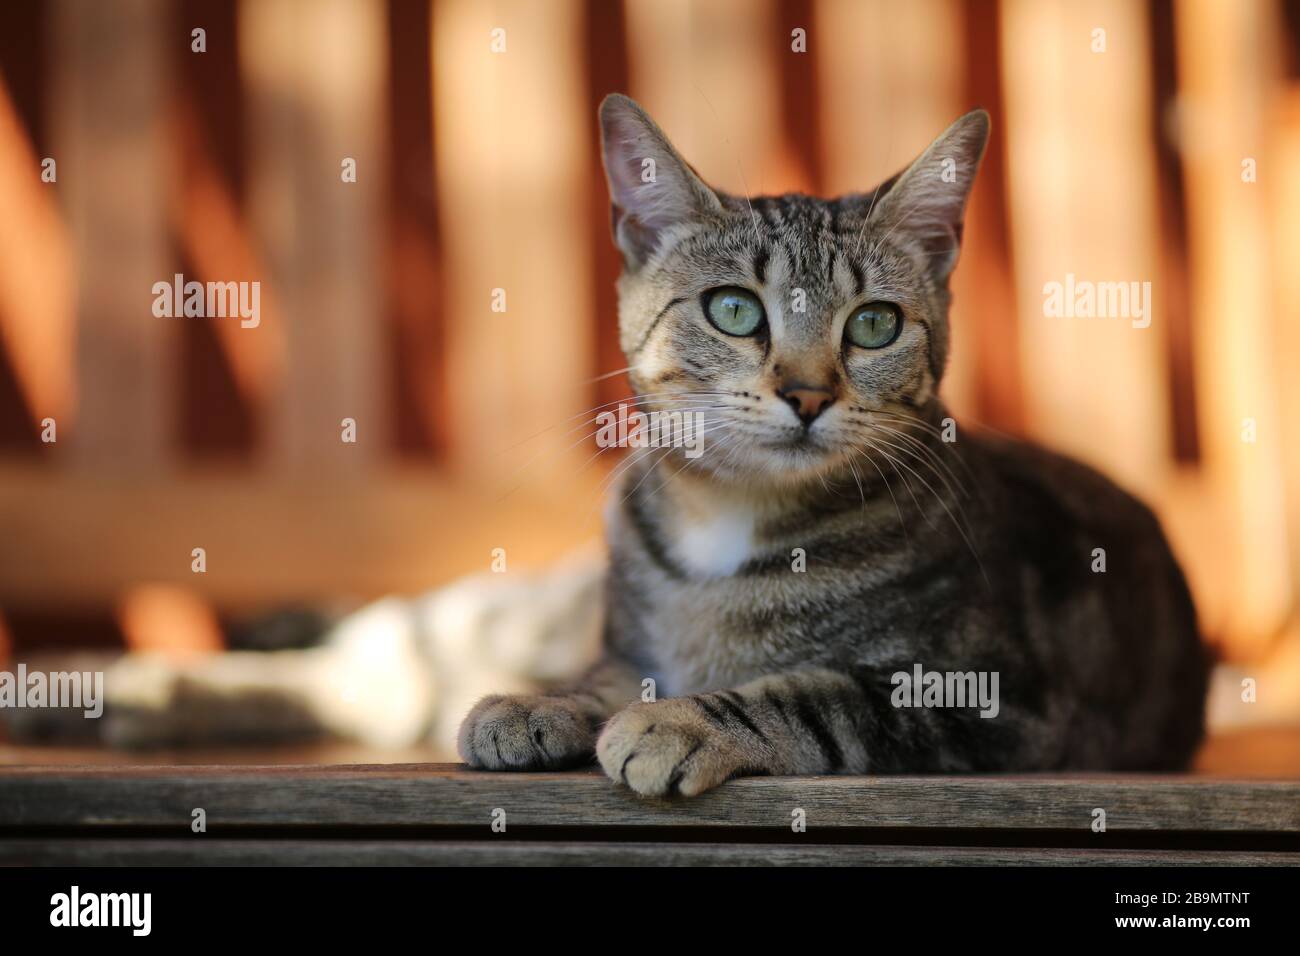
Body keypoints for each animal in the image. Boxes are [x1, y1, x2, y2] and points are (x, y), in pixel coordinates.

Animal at [457, 93, 1206, 796]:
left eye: (875, 323)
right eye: (734, 310)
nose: (808, 394)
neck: (730, 517)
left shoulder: (992, 697)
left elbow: (815, 697)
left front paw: (676, 721)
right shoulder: (635, 647)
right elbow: (609, 672)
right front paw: (539, 704)